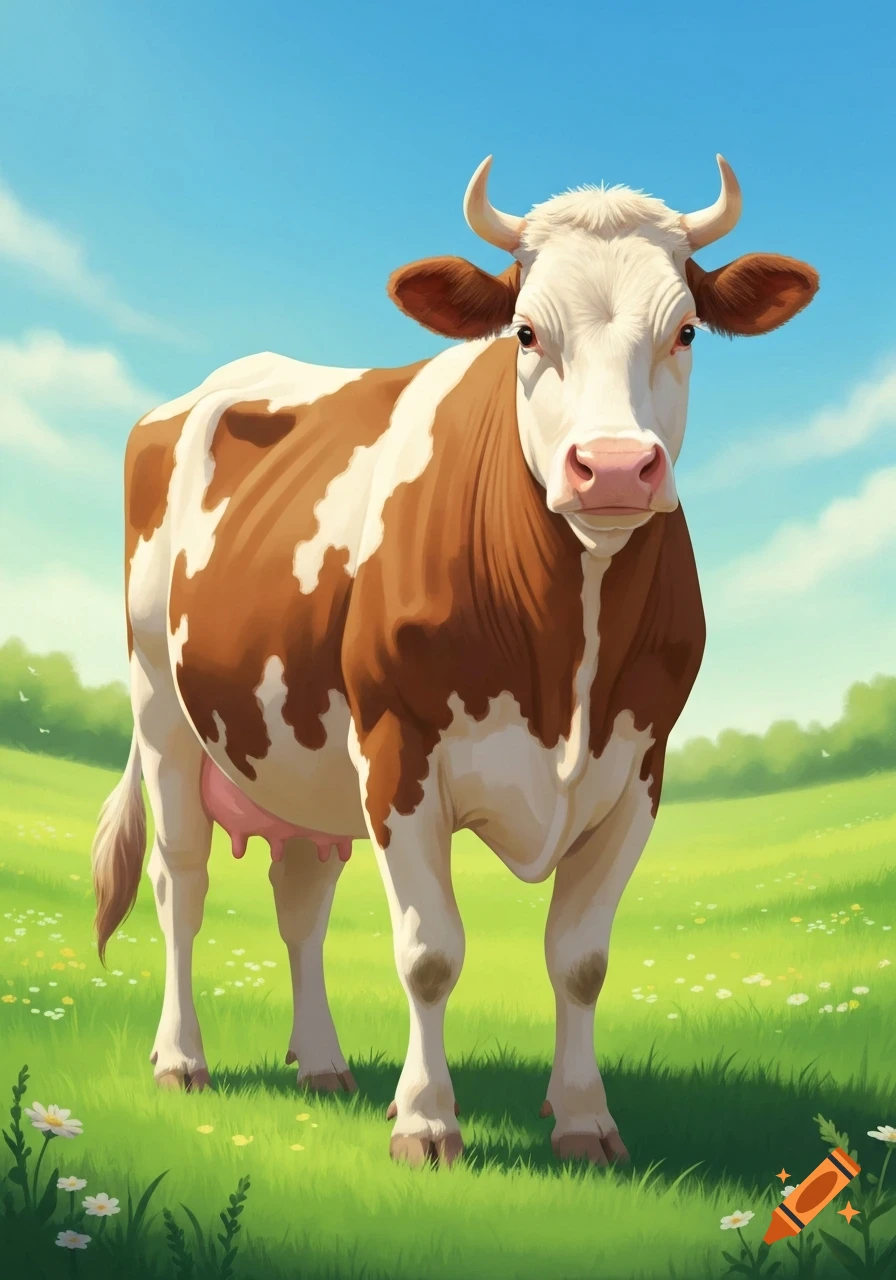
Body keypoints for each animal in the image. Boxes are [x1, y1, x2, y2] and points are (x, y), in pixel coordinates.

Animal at [91, 154, 818, 1168]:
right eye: (525, 332)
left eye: (684, 331)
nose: (614, 468)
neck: (565, 660)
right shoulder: (398, 751)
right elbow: (429, 952)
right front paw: (428, 1122)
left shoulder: (639, 769)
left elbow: (580, 958)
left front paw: (584, 1119)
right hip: (164, 709)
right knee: (180, 881)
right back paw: (180, 1060)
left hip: (303, 754)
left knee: (299, 897)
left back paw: (324, 1066)